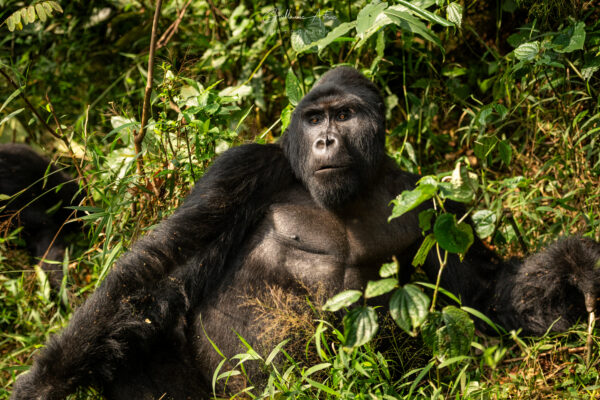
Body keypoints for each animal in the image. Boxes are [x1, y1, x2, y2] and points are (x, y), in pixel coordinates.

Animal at [9, 67, 600, 398]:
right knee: (130, 341)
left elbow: (481, 293)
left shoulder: (432, 199)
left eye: (345, 114)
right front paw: (44, 384)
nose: (326, 142)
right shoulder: (245, 167)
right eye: (315, 119)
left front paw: (574, 268)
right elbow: (157, 271)